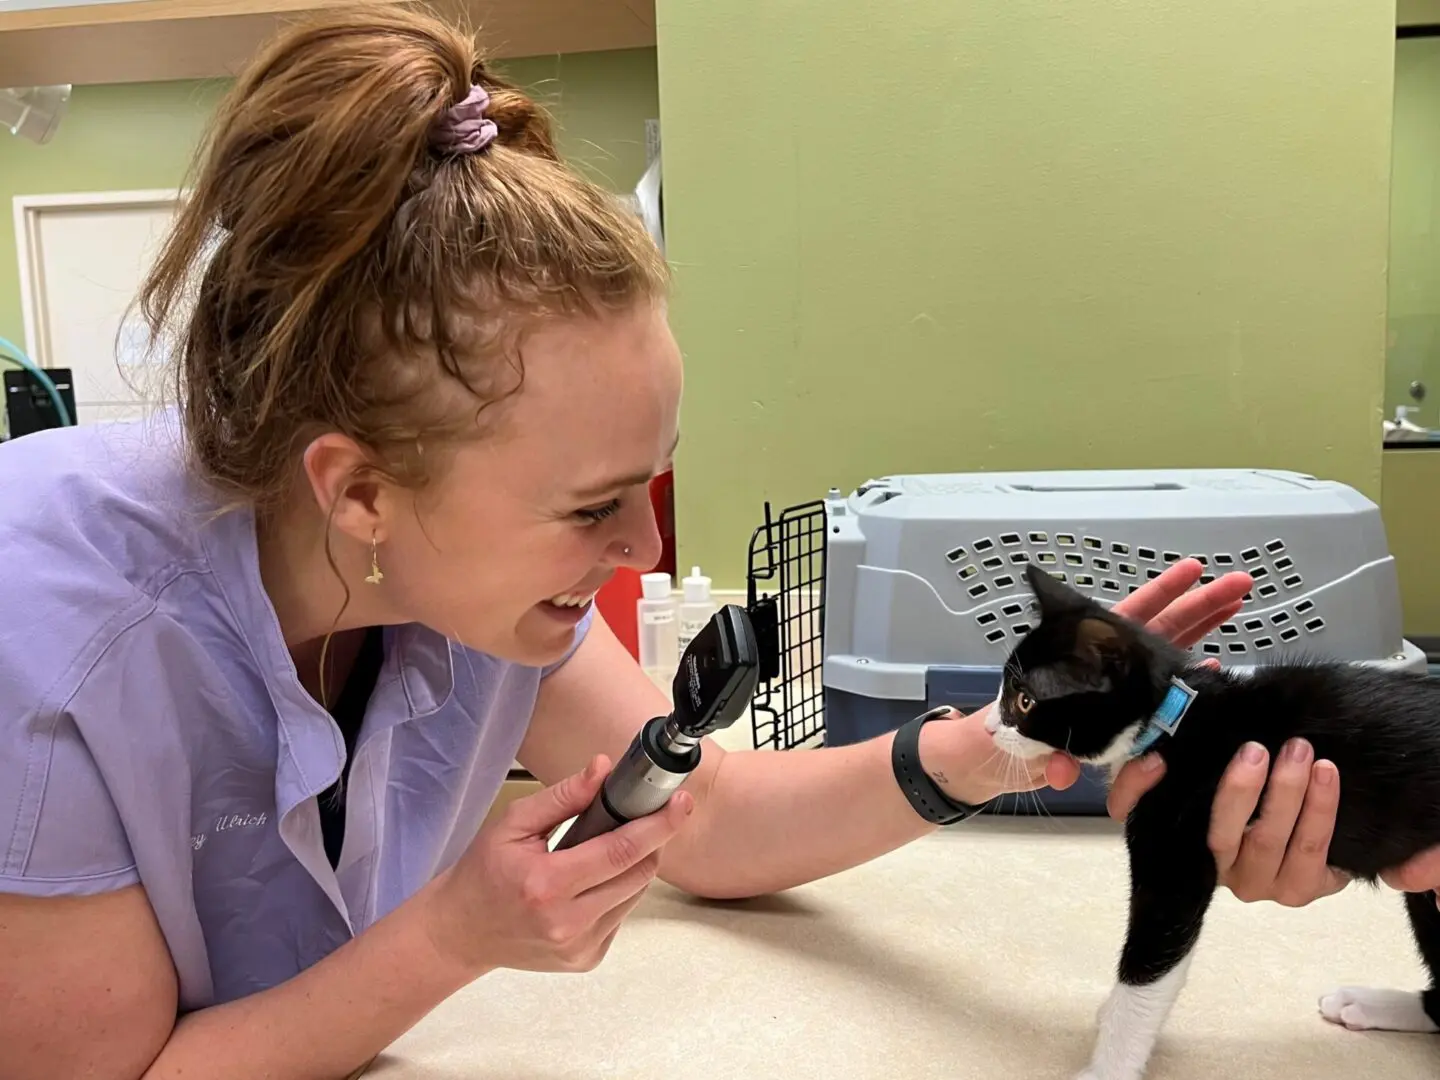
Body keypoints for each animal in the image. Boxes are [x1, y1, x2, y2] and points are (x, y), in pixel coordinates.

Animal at [990, 567, 1440, 1080]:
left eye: (1025, 701)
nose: (988, 727)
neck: (1170, 718)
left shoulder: (1177, 854)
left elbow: (1149, 968)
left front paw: (1108, 1068)